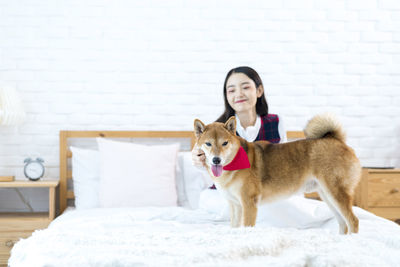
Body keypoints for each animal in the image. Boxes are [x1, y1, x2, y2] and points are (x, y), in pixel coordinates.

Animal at [194, 114, 362, 236]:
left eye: (225, 143)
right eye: (208, 144)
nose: (216, 159)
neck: (233, 164)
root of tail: (337, 140)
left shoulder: (249, 203)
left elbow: (247, 227)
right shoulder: (235, 205)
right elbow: (234, 226)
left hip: (335, 193)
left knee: (353, 221)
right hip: (327, 196)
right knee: (343, 223)